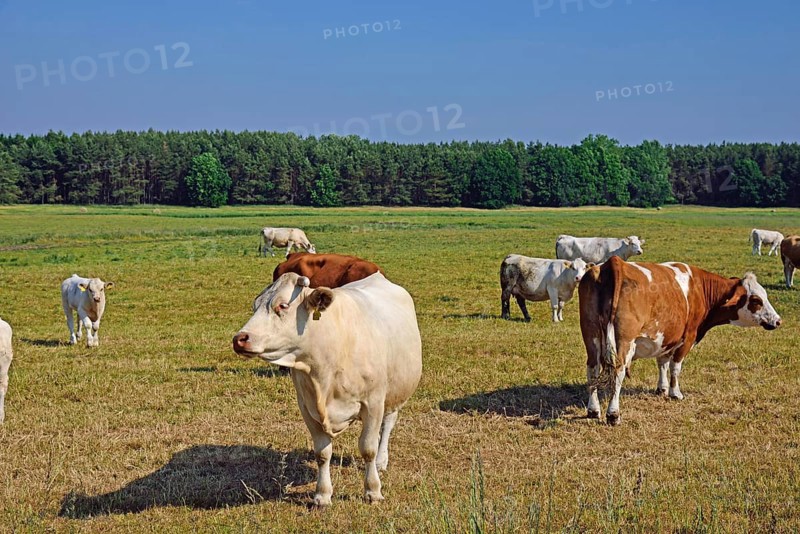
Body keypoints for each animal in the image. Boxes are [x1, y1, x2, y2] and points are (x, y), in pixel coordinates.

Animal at [232, 272, 422, 506]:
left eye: (283, 305)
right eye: (255, 306)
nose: (240, 339)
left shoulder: (373, 402)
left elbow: (368, 448)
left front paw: (373, 490)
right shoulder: (307, 407)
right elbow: (322, 453)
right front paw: (322, 495)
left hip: (395, 393)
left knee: (387, 425)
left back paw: (381, 460)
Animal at [579, 256, 781, 426]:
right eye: (756, 300)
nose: (778, 320)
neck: (700, 288)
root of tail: (614, 263)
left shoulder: (668, 337)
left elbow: (662, 362)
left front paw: (661, 388)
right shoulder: (688, 337)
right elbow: (675, 367)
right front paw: (675, 393)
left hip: (591, 336)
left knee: (592, 369)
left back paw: (593, 410)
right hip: (624, 342)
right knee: (618, 372)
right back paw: (613, 414)